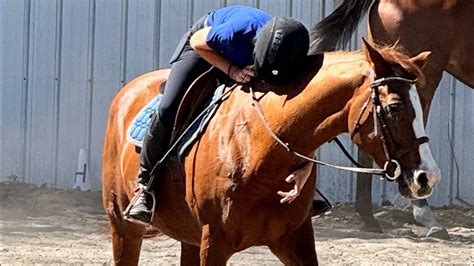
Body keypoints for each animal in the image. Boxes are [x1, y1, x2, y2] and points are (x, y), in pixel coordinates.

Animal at [103, 38, 440, 264]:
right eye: (394, 106)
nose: (428, 177)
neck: (258, 150)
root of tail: (127, 92)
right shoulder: (214, 241)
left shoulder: (295, 238)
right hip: (124, 229)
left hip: (189, 237)